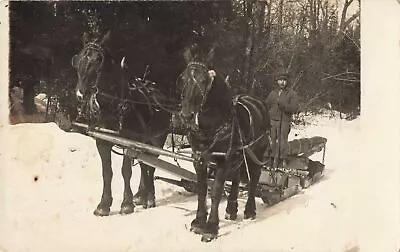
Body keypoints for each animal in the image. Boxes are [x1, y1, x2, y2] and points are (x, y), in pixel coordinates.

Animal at [71, 31, 173, 216]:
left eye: (99, 60)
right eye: (79, 59)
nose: (80, 94)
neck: (112, 106)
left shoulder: (129, 142)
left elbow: (126, 171)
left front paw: (126, 204)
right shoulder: (102, 141)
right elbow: (107, 172)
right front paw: (103, 205)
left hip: (157, 138)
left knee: (151, 166)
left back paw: (149, 197)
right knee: (144, 164)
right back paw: (141, 195)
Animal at [179, 56, 270, 241]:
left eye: (203, 81)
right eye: (183, 78)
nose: (186, 116)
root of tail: (259, 102)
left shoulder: (222, 160)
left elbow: (216, 192)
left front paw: (211, 228)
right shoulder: (198, 158)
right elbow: (201, 189)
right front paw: (198, 222)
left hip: (255, 152)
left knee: (254, 178)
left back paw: (250, 210)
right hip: (238, 155)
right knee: (236, 176)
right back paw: (231, 209)